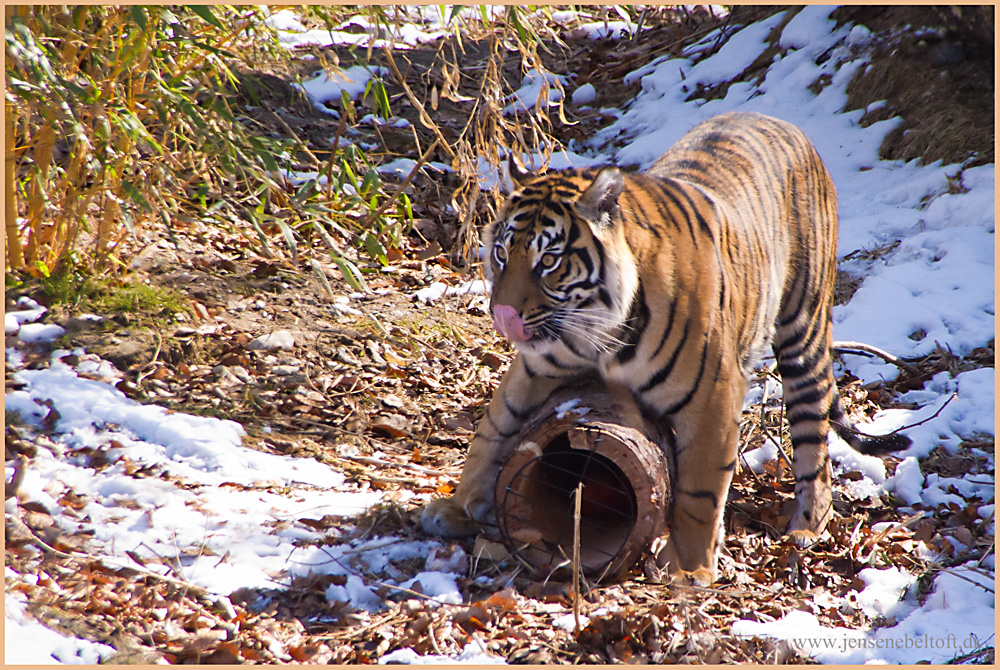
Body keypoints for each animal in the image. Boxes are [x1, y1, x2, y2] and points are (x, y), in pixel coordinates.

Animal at [418, 113, 912, 584]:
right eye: (502, 253)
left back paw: (808, 524)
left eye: (549, 261)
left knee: (814, 432)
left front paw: (691, 570)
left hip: (802, 328)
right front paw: (456, 508)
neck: (596, 333)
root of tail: (790, 126)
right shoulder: (538, 366)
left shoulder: (715, 396)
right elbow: (492, 429)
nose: (502, 315)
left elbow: (700, 491)